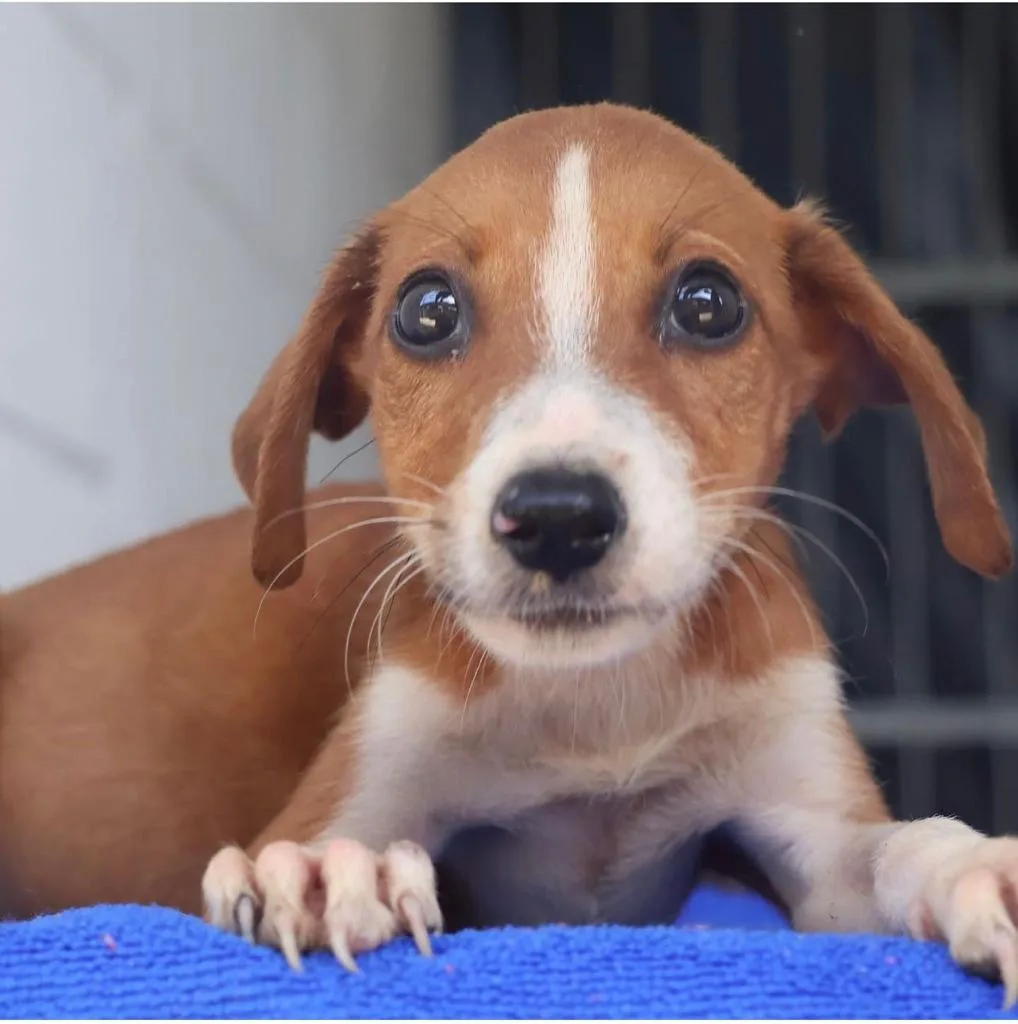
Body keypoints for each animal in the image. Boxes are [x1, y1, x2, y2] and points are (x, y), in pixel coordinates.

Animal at [190, 105, 1015, 999]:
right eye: (426, 309)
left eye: (707, 303)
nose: (556, 517)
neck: (597, 704)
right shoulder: (368, 772)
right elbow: (312, 843)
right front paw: (323, 873)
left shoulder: (819, 840)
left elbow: (904, 841)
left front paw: (973, 867)